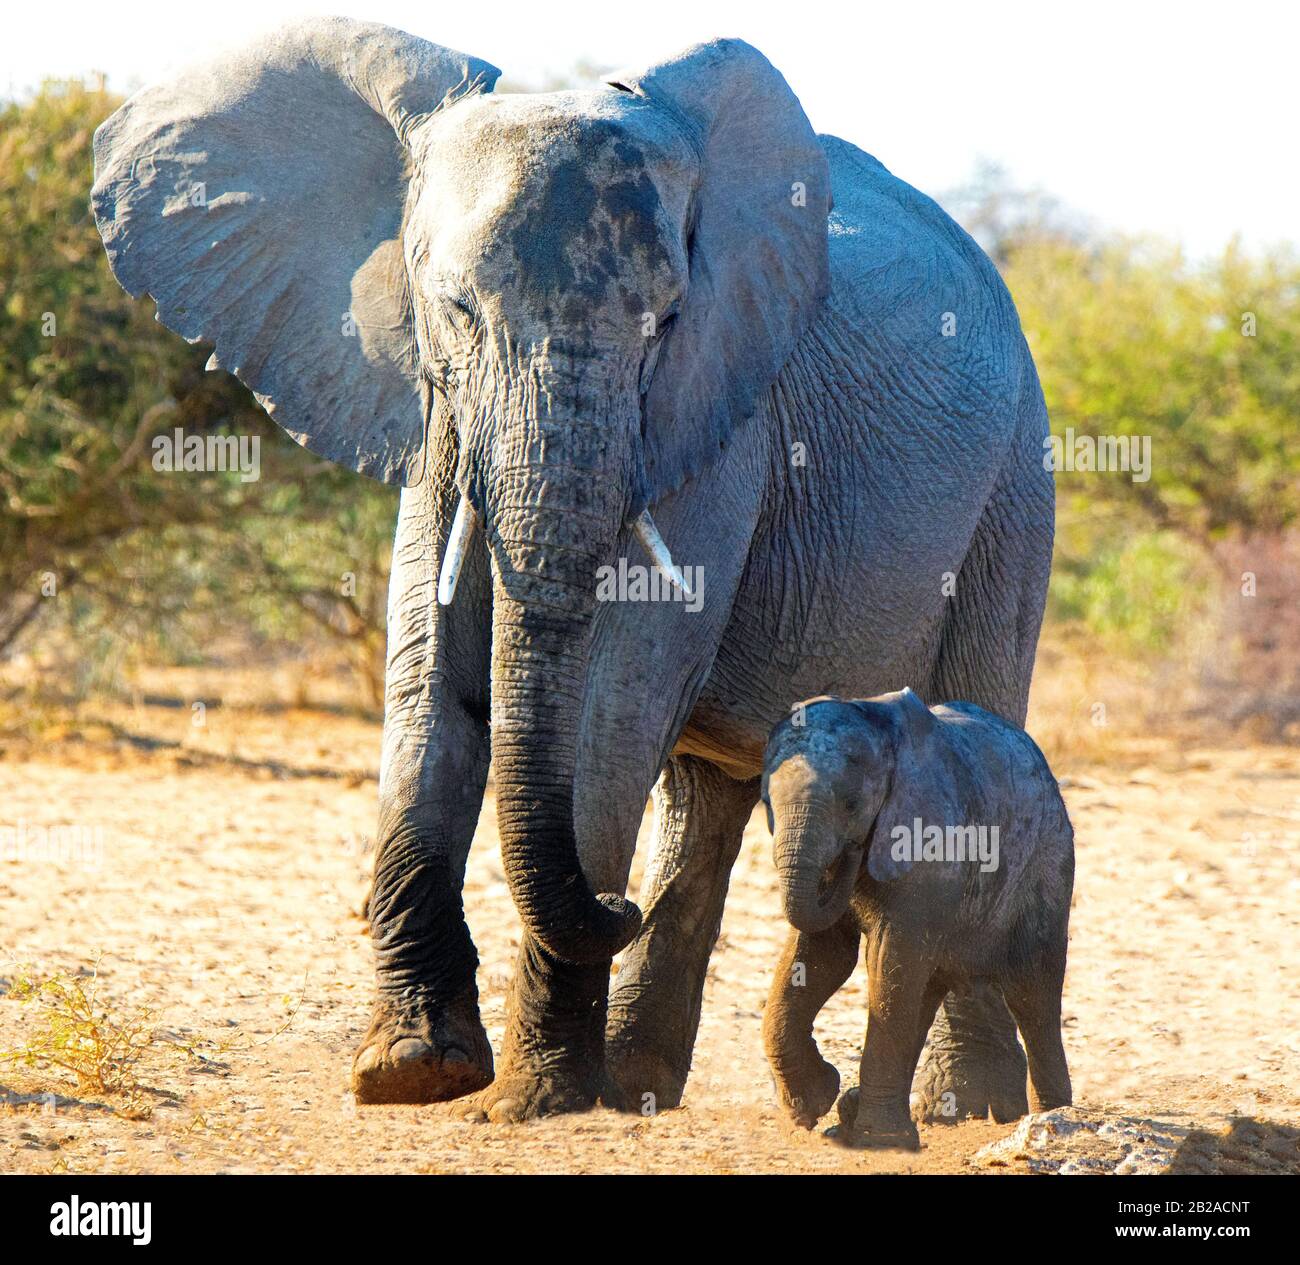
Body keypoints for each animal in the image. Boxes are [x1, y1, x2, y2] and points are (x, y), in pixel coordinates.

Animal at [91, 19, 1050, 1118]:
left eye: (667, 322)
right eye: (454, 308)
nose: (612, 899)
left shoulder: (714, 422)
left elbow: (615, 698)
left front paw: (535, 1098)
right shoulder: (433, 413)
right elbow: (427, 683)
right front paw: (414, 1070)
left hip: (1016, 479)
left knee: (972, 724)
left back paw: (962, 1106)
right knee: (706, 798)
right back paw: (640, 1082)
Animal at [759, 686, 1071, 1149]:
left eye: (852, 805)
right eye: (766, 803)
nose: (853, 853)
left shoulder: (929, 837)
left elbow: (889, 957)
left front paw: (879, 1140)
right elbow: (821, 955)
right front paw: (812, 1105)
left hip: (1048, 861)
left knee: (1034, 990)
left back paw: (1054, 1118)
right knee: (926, 990)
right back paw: (850, 1112)